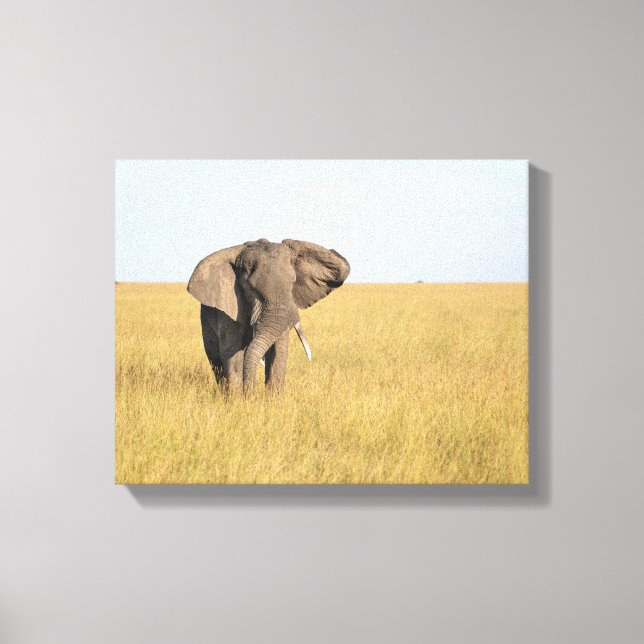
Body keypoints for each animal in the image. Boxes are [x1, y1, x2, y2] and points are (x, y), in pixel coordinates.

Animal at [187, 238, 350, 394]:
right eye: (250, 288)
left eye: (292, 283)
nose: (251, 392)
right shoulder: (227, 306)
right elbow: (232, 352)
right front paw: (239, 400)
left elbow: (278, 351)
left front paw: (272, 400)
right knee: (216, 359)